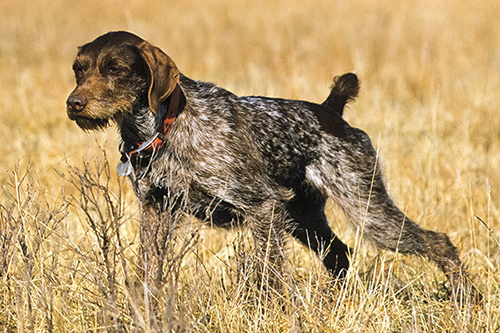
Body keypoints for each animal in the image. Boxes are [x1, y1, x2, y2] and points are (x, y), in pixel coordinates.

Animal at [66, 30, 472, 296]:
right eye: (79, 69)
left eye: (115, 68)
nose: (74, 104)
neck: (164, 127)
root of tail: (330, 111)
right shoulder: (155, 210)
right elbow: (148, 271)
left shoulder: (261, 208)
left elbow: (268, 275)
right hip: (304, 218)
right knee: (338, 254)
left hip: (367, 210)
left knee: (437, 242)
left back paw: (466, 296)